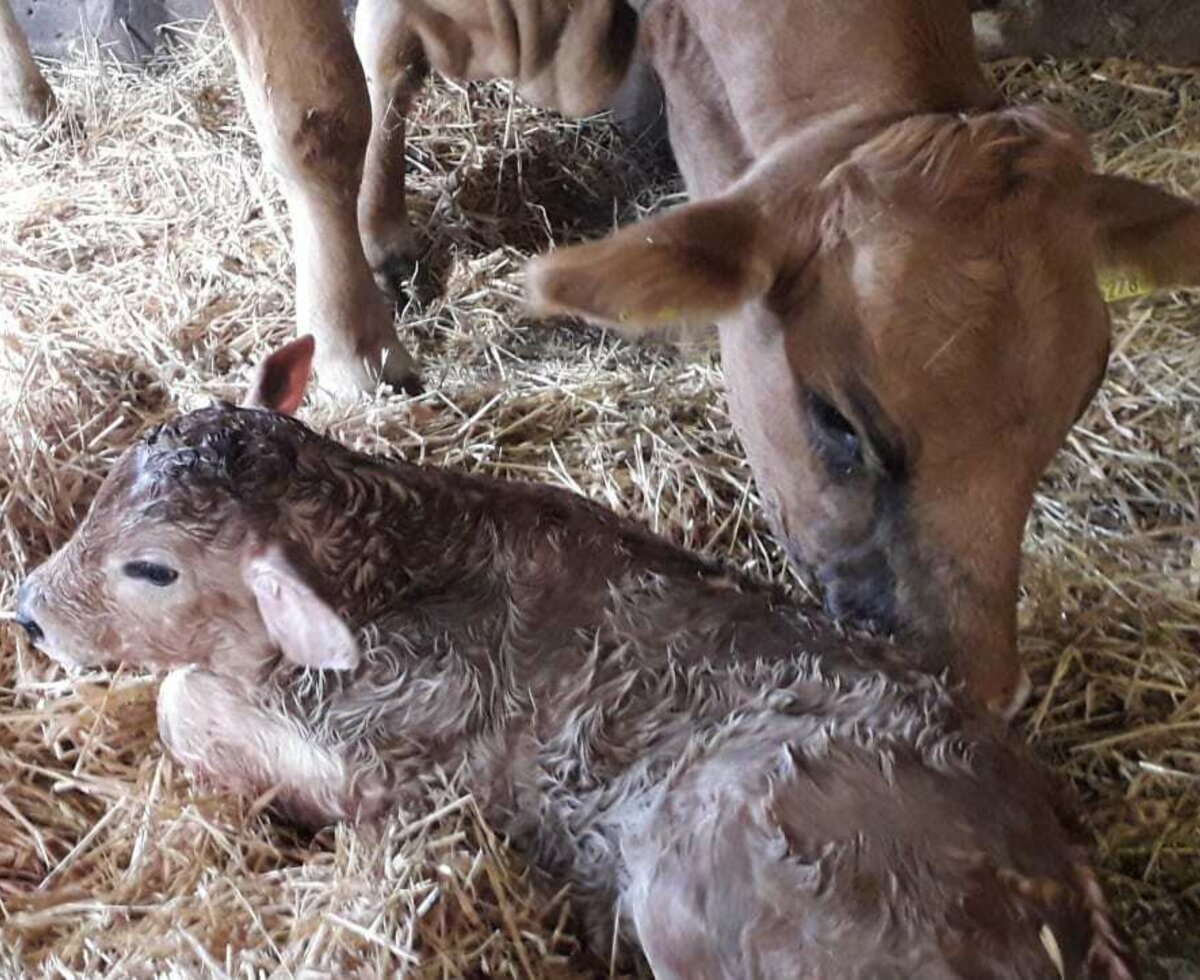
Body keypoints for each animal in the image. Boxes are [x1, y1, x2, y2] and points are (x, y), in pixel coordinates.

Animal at [14, 338, 1128, 978]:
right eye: (106, 482)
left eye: (152, 569)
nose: (24, 612)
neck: (391, 564)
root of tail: (1059, 889)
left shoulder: (383, 769)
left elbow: (182, 703)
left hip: (704, 875)